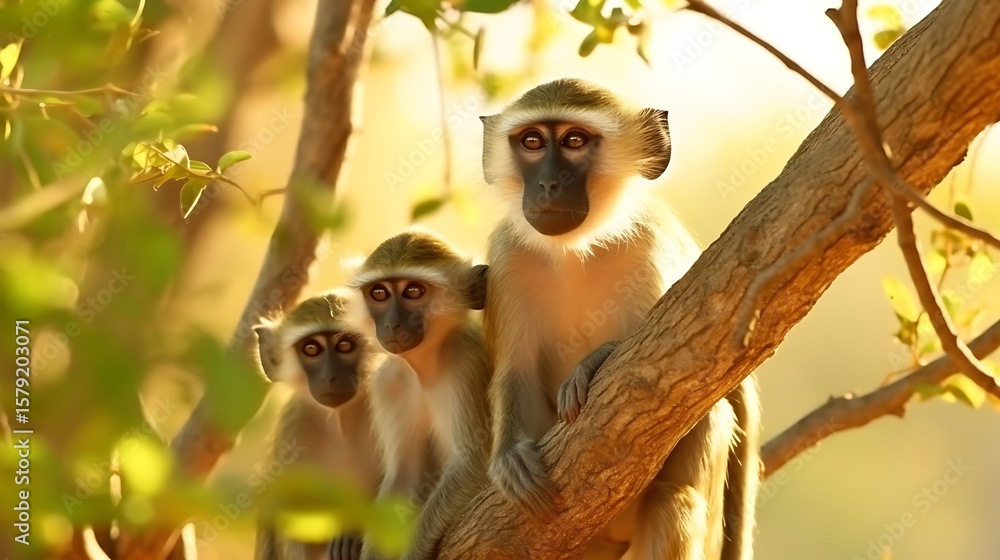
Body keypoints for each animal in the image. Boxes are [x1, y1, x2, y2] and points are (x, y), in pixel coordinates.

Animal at [252, 289, 383, 560]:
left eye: (344, 345)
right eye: (311, 349)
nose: (329, 375)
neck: (339, 423)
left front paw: (350, 534)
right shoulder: (293, 430)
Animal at [341, 227, 491, 560]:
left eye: (413, 291)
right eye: (379, 293)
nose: (392, 323)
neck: (425, 371)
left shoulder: (463, 360)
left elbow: (475, 462)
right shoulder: (389, 383)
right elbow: (404, 477)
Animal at [479, 78, 761, 560]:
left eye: (574, 141)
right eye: (532, 141)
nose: (548, 183)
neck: (575, 248)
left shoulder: (650, 242)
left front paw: (592, 364)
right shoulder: (507, 255)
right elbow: (516, 372)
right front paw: (511, 456)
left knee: (679, 489)